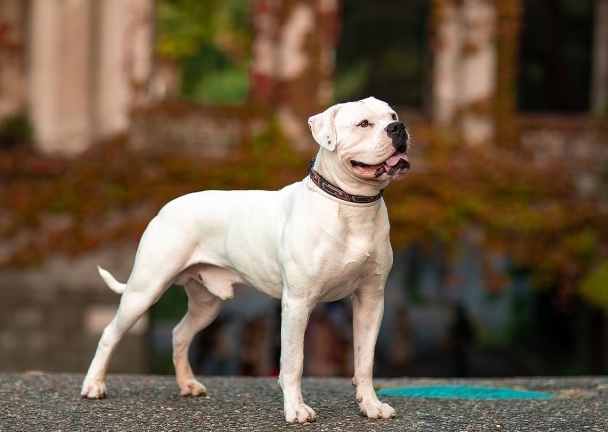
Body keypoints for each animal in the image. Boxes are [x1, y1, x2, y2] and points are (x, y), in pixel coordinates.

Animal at [81, 96, 410, 424]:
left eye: (393, 116)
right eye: (363, 124)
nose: (399, 128)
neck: (351, 206)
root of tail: (166, 207)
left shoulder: (370, 300)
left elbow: (365, 359)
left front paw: (371, 405)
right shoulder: (298, 302)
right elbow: (294, 361)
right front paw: (296, 409)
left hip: (206, 305)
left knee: (179, 334)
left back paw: (187, 384)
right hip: (144, 291)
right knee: (110, 333)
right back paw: (94, 385)